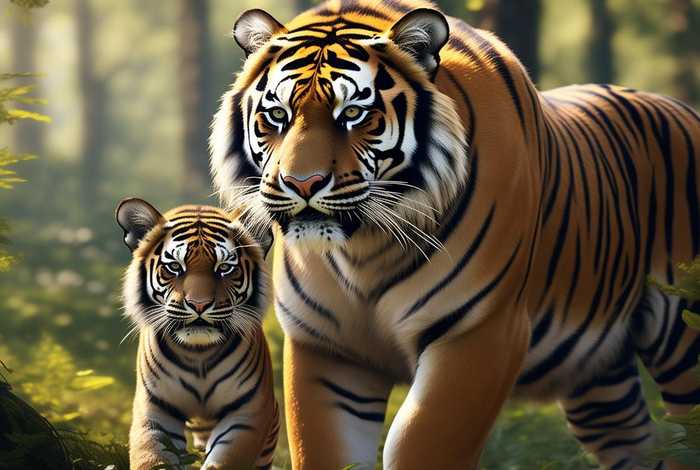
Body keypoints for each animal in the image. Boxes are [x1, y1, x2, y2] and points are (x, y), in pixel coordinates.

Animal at [116, 198, 279, 470]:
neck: (198, 352)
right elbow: (153, 458)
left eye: (224, 268)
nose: (199, 304)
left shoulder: (247, 412)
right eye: (174, 267)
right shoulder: (156, 411)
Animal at [209, 0, 700, 468]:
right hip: (599, 384)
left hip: (683, 341)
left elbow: (421, 445)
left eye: (353, 114)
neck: (365, 249)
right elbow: (325, 451)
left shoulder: (480, 332)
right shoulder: (326, 348)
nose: (302, 183)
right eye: (277, 115)